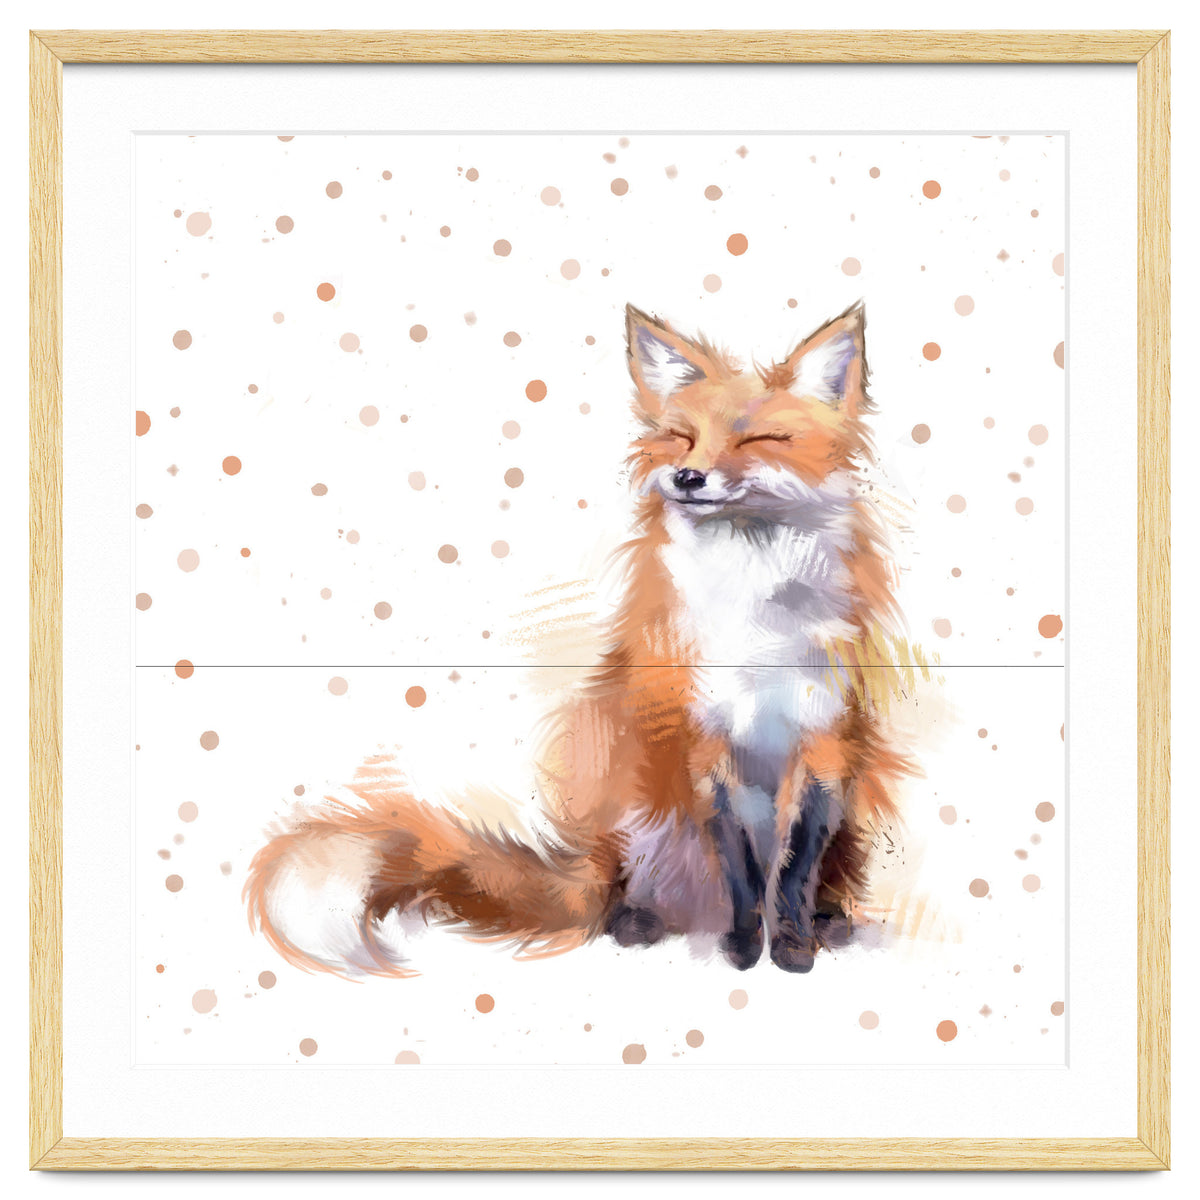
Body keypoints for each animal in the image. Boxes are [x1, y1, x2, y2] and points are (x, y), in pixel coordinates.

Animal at [246, 301, 914, 975]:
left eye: (759, 440)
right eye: (681, 437)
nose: (687, 476)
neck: (754, 620)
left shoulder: (826, 742)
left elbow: (795, 867)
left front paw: (795, 946)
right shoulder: (704, 742)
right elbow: (743, 869)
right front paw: (746, 949)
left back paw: (829, 922)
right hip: (628, 795)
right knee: (620, 891)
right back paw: (639, 921)